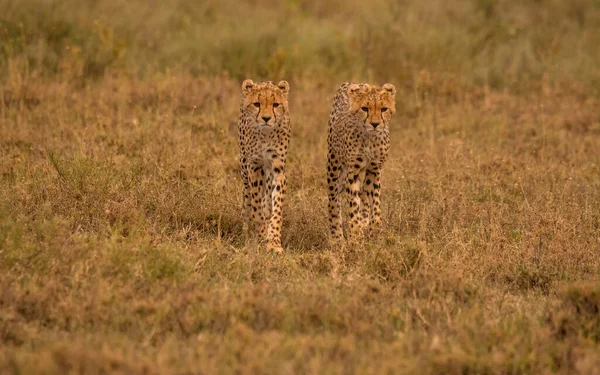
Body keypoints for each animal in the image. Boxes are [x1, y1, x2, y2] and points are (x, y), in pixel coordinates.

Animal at [237, 80, 290, 254]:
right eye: (257, 104)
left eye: (275, 104)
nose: (266, 118)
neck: (266, 135)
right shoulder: (254, 167)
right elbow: (256, 205)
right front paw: (260, 235)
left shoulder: (278, 169)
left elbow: (276, 208)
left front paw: (273, 242)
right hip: (244, 167)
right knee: (248, 197)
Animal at [326, 82, 396, 241]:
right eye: (365, 108)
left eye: (384, 109)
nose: (375, 124)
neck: (370, 138)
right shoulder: (353, 172)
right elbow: (353, 203)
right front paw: (356, 234)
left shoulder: (375, 169)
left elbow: (375, 200)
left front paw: (375, 227)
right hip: (334, 163)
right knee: (333, 198)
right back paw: (336, 236)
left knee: (363, 192)